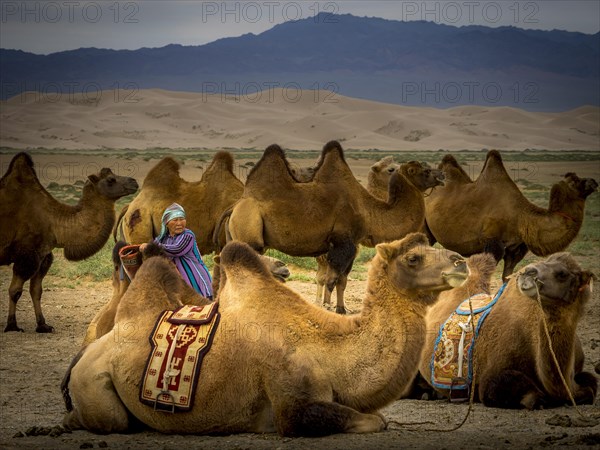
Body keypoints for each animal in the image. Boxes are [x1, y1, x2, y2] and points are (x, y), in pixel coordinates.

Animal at [0, 153, 138, 332]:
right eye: (110, 179)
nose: (134, 182)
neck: (53, 221)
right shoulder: (27, 254)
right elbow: (15, 290)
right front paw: (12, 325)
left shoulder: (42, 255)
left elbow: (36, 290)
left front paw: (43, 325)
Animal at [424, 149, 596, 280]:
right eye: (575, 181)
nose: (594, 181)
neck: (521, 217)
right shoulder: (493, 243)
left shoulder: (515, 249)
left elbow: (506, 278)